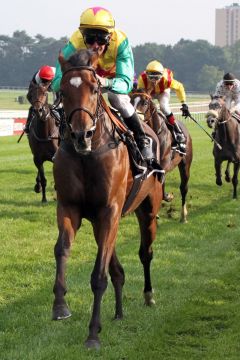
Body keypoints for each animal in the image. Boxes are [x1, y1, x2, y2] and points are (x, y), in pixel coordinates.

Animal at [51, 48, 162, 348]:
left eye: (94, 88)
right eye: (63, 91)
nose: (81, 135)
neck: (88, 154)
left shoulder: (109, 210)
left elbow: (99, 274)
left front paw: (92, 333)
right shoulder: (71, 207)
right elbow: (62, 249)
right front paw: (60, 306)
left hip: (148, 210)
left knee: (145, 253)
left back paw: (148, 296)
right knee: (116, 265)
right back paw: (119, 311)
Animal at [130, 90, 192, 222]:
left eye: (145, 102)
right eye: (130, 100)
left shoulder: (163, 165)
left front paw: (168, 196)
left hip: (185, 164)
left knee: (184, 187)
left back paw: (183, 215)